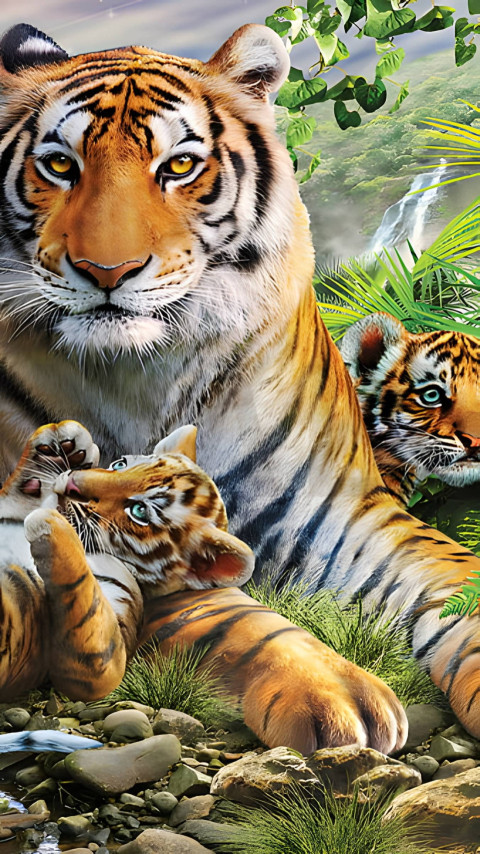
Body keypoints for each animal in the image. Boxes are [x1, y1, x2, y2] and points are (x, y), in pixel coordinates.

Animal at [0, 420, 406, 755]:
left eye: (140, 512)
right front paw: (61, 445)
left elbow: (81, 597)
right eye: (120, 465)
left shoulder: (99, 664)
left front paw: (47, 520)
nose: (70, 485)